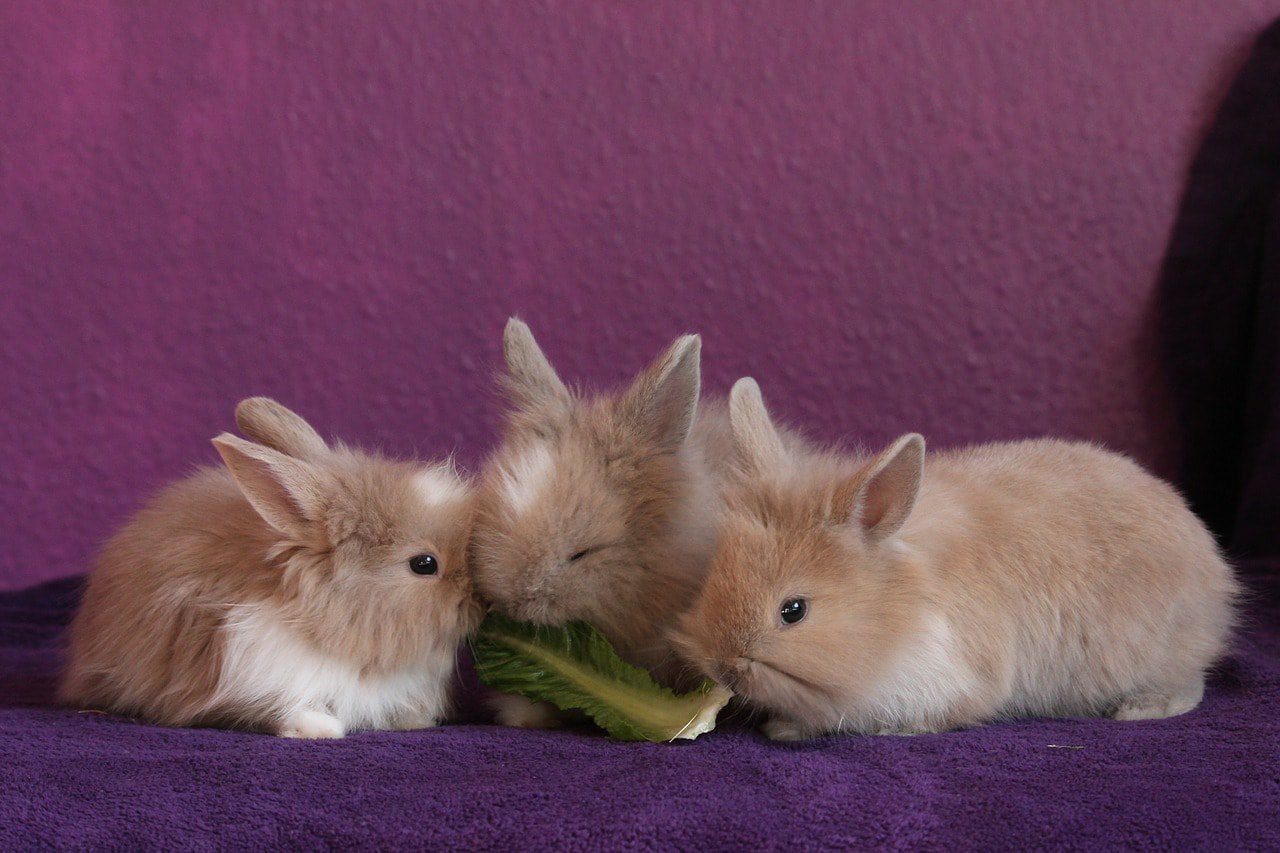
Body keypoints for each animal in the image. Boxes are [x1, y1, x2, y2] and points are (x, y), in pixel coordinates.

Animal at [669, 378, 1240, 740]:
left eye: (794, 611)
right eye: (711, 581)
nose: (724, 667)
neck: (894, 614)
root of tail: (1213, 567)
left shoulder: (945, 680)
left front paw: (784, 728)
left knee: (1191, 685)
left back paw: (1140, 710)